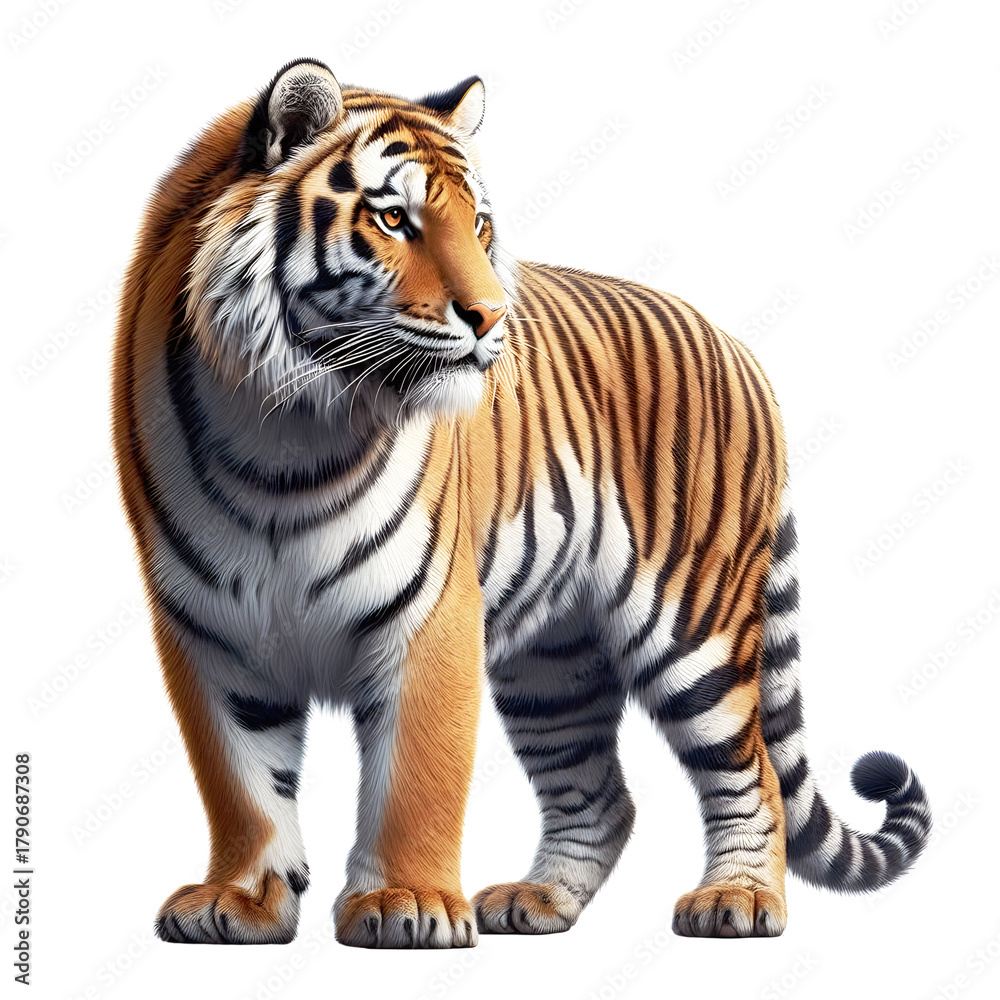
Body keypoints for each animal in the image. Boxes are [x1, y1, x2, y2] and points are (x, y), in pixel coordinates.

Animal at [112, 57, 931, 948]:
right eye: (393, 218)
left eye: (478, 225)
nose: (491, 317)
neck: (284, 429)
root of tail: (736, 344)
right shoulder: (207, 627)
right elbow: (241, 783)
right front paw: (241, 900)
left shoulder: (430, 614)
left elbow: (416, 777)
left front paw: (404, 903)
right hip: (554, 662)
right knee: (602, 796)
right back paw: (538, 901)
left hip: (696, 625)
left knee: (752, 774)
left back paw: (739, 900)